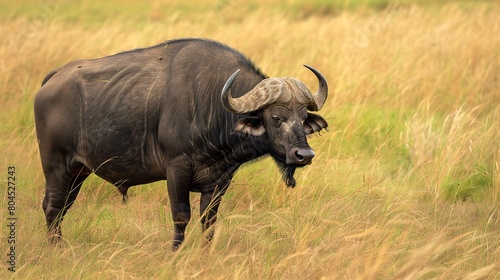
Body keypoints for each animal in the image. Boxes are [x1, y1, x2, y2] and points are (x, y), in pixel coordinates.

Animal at [35, 37, 328, 249]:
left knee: (62, 207)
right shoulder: (177, 170)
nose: (304, 154)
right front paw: (175, 252)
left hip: (78, 172)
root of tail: (54, 78)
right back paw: (57, 249)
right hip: (56, 167)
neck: (212, 104)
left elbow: (208, 219)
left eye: (303, 117)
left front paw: (206, 251)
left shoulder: (220, 179)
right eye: (276, 117)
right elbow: (181, 215)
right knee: (53, 206)